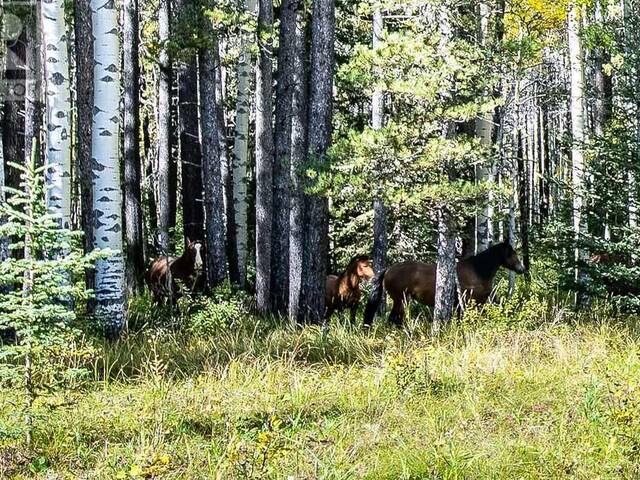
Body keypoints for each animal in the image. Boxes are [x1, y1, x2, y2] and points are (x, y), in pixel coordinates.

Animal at [364, 242, 524, 328]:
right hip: (400, 301)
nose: (521, 269)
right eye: (512, 253)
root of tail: (388, 269)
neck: (477, 270)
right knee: (394, 320)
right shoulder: (470, 302)